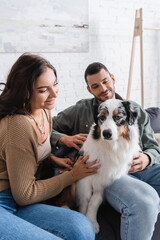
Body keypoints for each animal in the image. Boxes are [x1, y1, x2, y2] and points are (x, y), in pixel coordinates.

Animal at [76, 99, 140, 232]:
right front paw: (83, 215)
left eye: (118, 117)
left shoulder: (104, 180)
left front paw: (92, 220)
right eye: (102, 117)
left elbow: (95, 201)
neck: (111, 147)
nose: (106, 133)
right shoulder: (85, 176)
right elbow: (86, 198)